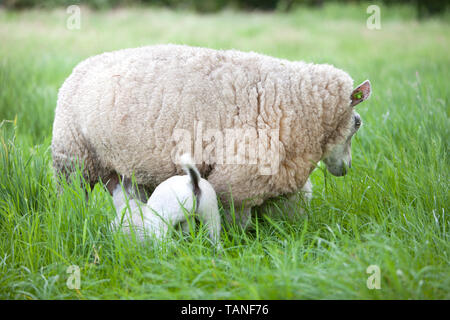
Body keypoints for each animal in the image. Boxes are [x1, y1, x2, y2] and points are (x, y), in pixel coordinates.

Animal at [51, 43, 370, 226]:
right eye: (357, 123)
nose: (347, 168)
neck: (296, 102)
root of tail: (79, 67)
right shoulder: (240, 181)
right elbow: (239, 224)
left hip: (124, 169)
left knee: (130, 198)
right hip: (72, 158)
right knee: (70, 197)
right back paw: (71, 220)